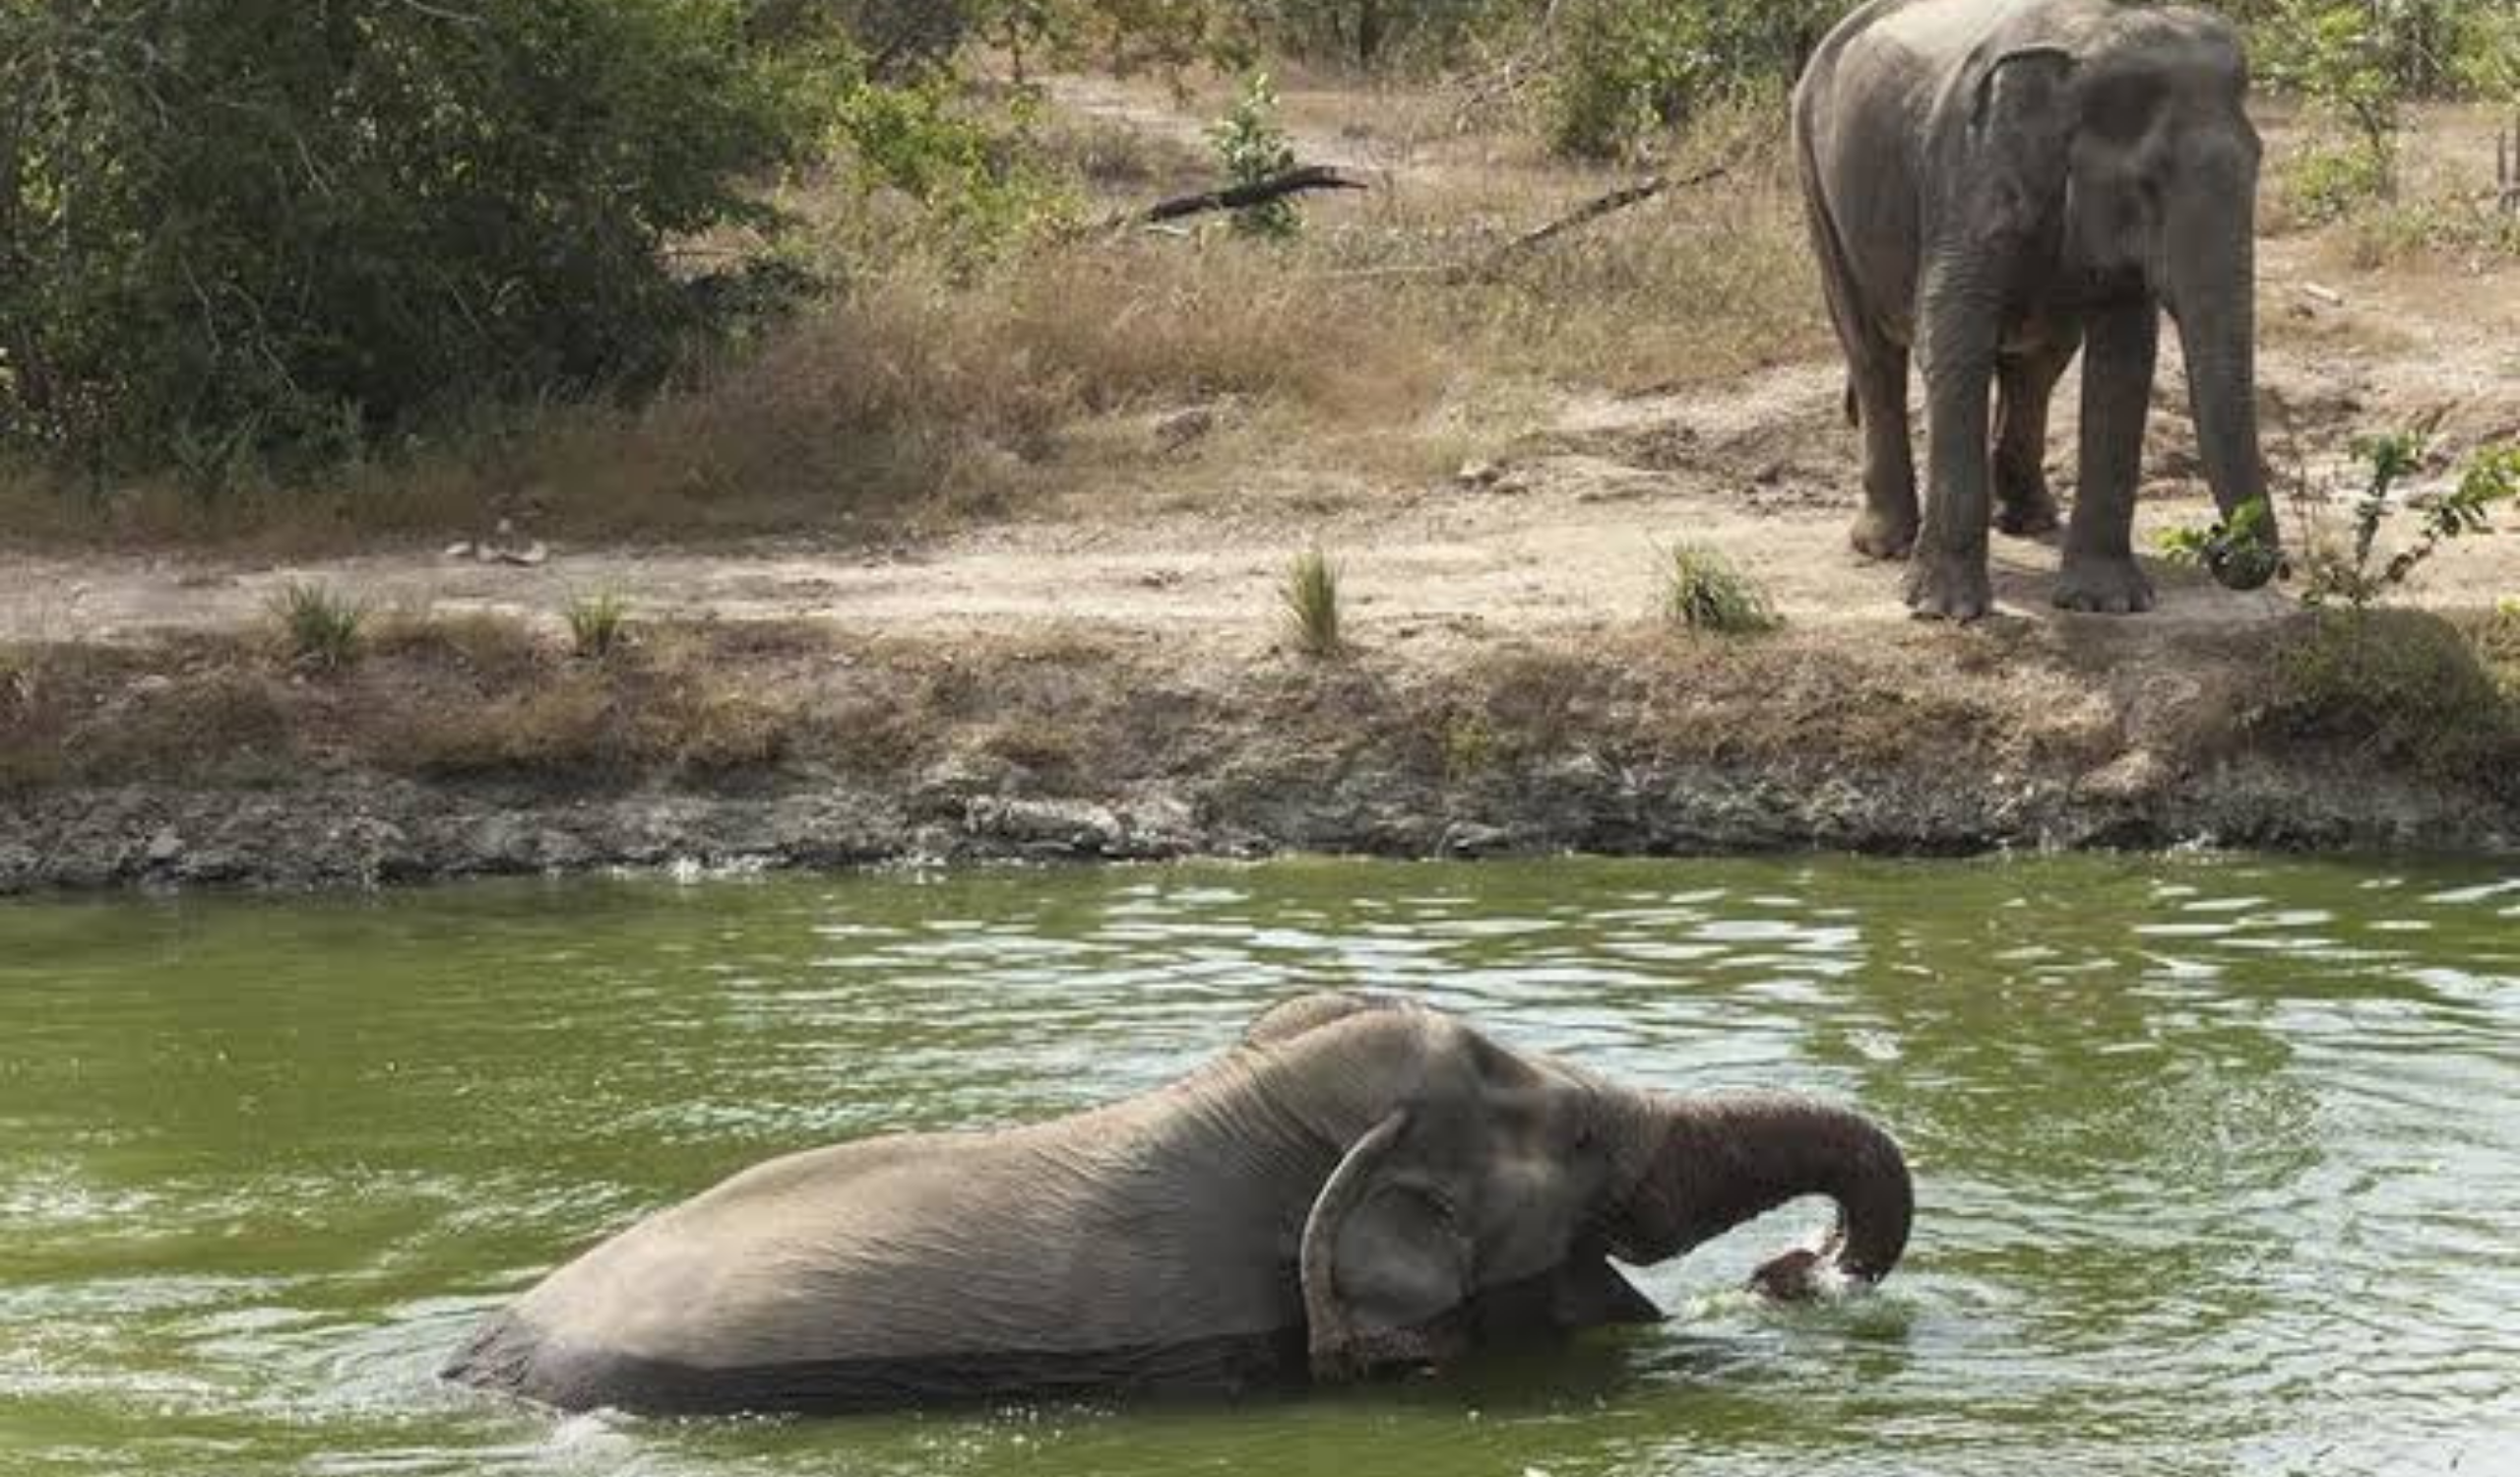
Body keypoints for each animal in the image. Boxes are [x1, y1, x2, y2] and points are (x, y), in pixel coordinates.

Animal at [1793, 0, 2277, 619]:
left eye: (2258, 164)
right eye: (2147, 183)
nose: (2217, 543)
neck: (2085, 46)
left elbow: (2125, 358)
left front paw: (2105, 603)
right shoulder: (1968, 172)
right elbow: (1952, 332)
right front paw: (1946, 611)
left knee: (2038, 364)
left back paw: (2029, 521)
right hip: (1817, 181)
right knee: (1871, 352)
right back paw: (1883, 544)